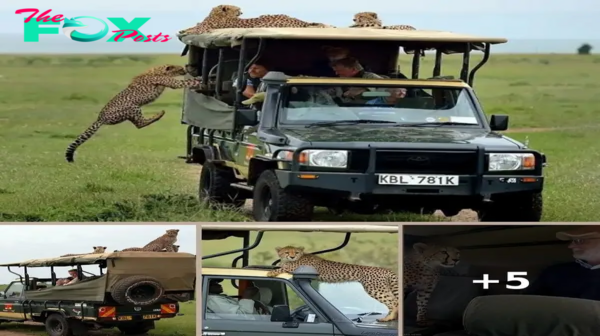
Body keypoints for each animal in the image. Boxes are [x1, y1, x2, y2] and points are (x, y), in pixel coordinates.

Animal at [65, 64, 202, 163]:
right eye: (180, 68)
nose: (185, 70)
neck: (159, 70)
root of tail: (100, 118)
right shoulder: (173, 83)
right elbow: (186, 83)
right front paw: (199, 80)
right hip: (133, 107)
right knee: (140, 124)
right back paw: (159, 114)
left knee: (138, 124)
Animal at [266, 245, 398, 322]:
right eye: (287, 252)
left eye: (296, 252)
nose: (292, 257)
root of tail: (386, 269)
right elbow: (281, 265)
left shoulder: (296, 268)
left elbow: (283, 267)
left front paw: (270, 272)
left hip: (375, 289)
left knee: (394, 301)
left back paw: (388, 318)